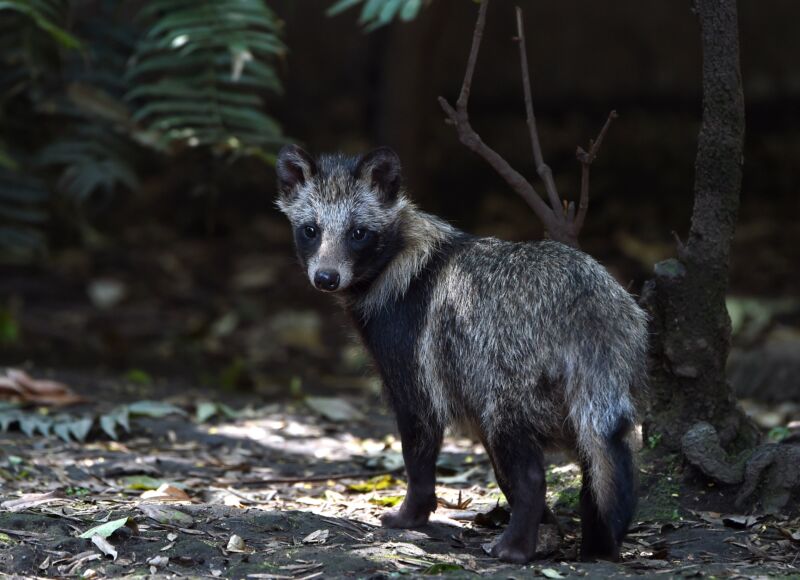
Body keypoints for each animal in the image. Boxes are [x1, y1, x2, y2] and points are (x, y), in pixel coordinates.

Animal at [275, 145, 648, 563]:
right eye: (311, 230)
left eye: (358, 233)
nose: (326, 278)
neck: (399, 256)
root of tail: (587, 307)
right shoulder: (460, 374)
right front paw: (548, 522)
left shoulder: (413, 357)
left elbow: (419, 443)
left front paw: (413, 512)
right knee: (607, 457)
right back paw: (600, 540)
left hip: (510, 379)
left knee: (530, 466)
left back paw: (518, 544)